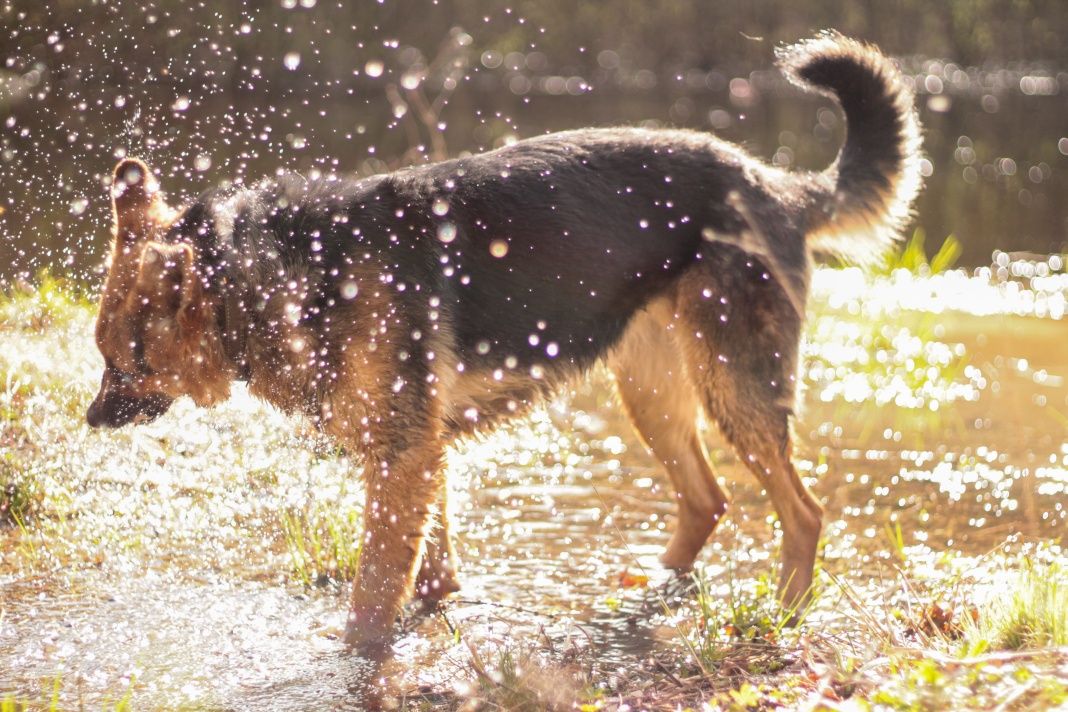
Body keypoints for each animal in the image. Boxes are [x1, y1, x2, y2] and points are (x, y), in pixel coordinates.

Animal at [85, 33, 918, 649]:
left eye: (126, 358)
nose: (90, 421)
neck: (290, 272)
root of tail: (770, 182)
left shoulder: (403, 458)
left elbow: (371, 593)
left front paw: (352, 651)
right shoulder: (418, 455)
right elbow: (427, 571)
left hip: (734, 388)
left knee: (802, 513)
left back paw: (784, 612)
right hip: (651, 393)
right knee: (707, 499)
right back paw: (650, 587)